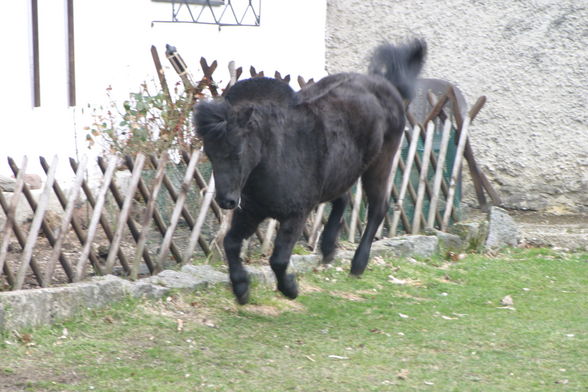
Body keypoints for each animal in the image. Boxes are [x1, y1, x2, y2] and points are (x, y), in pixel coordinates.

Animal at [195, 39, 424, 304]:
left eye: (238, 151)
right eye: (210, 153)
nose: (227, 201)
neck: (273, 157)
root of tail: (386, 84)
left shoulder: (296, 215)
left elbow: (279, 259)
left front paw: (290, 288)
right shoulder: (252, 212)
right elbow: (231, 243)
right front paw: (241, 288)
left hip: (380, 163)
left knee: (378, 207)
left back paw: (358, 264)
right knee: (343, 198)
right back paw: (327, 248)